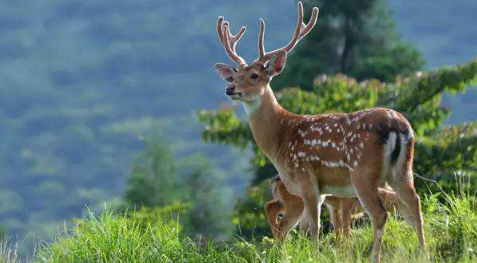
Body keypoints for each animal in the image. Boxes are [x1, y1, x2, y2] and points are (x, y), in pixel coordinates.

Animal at [214, 2, 426, 263]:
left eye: (254, 75)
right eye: (235, 75)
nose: (230, 88)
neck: (281, 138)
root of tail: (397, 125)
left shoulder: (306, 176)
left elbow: (314, 227)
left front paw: (314, 255)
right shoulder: (322, 190)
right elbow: (309, 228)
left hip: (363, 171)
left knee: (380, 214)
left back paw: (375, 257)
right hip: (402, 169)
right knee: (414, 203)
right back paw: (424, 253)